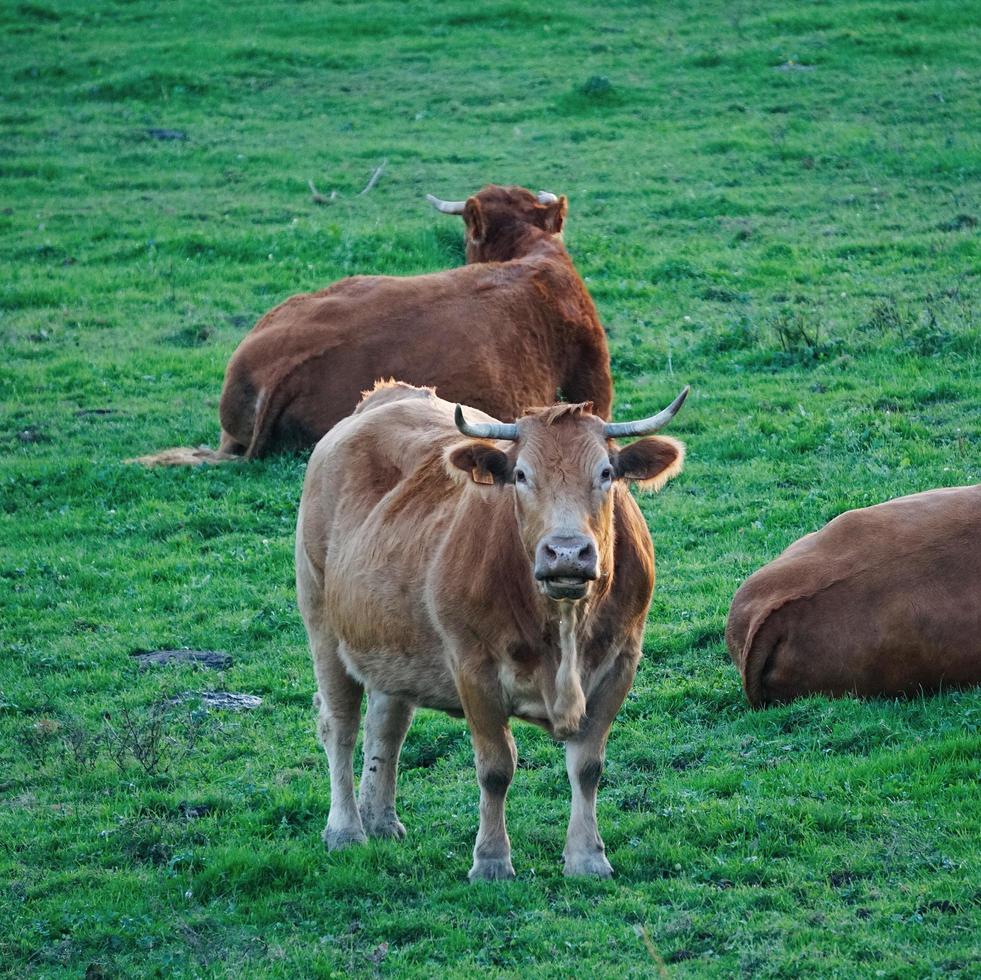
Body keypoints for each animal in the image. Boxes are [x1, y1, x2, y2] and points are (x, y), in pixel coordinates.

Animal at [294, 380, 684, 880]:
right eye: (520, 474)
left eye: (605, 473)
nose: (567, 553)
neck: (562, 626)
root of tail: (385, 396)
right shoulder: (472, 668)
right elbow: (496, 768)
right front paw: (492, 860)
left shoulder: (622, 661)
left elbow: (588, 765)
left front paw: (587, 857)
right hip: (322, 623)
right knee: (339, 726)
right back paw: (346, 829)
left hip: (389, 642)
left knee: (386, 726)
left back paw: (380, 820)